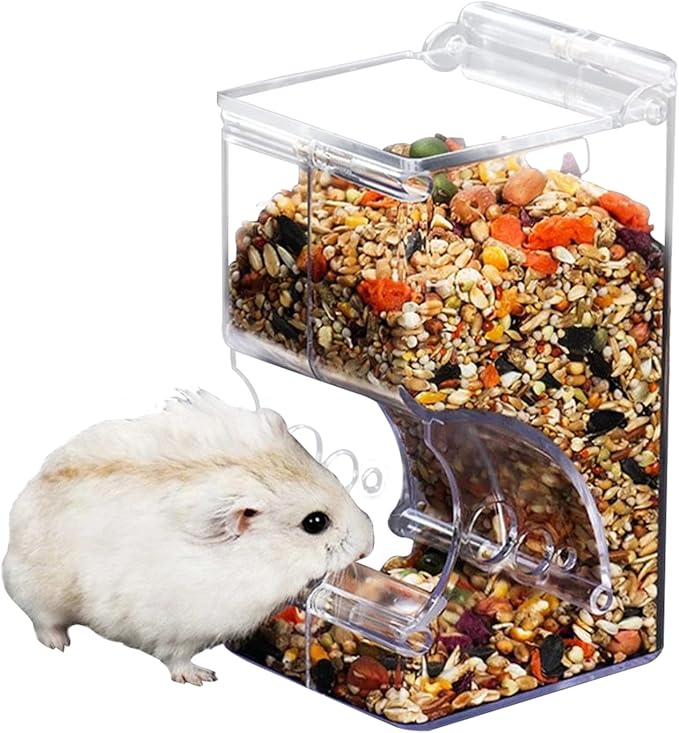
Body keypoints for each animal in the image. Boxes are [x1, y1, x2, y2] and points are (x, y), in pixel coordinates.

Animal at [2, 390, 374, 685]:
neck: (262, 560)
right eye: (315, 522)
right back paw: (58, 644)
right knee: (41, 619)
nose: (369, 543)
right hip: (38, 592)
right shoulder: (175, 629)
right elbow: (176, 658)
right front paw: (203, 678)